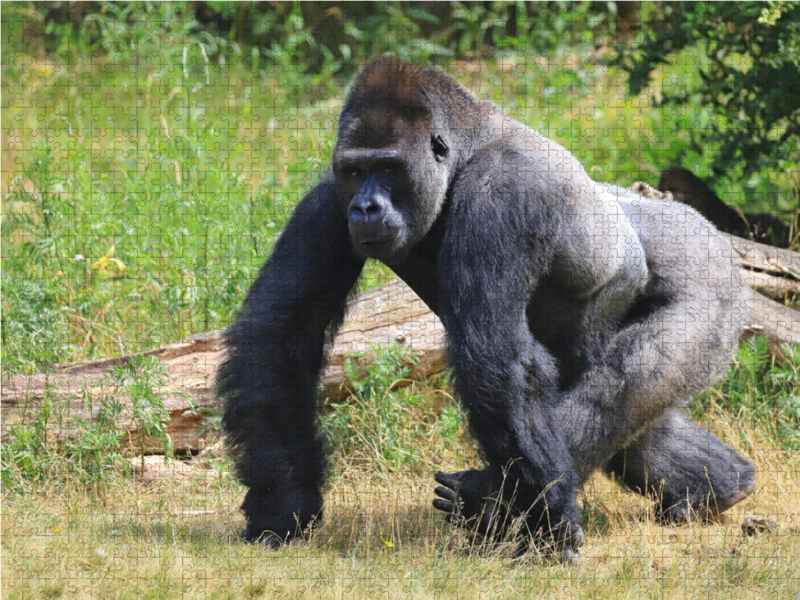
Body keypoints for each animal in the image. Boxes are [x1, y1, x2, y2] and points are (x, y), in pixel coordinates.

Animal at [217, 58, 756, 560]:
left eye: (389, 167)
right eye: (355, 171)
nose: (366, 207)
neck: (466, 150)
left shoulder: (502, 195)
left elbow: (497, 356)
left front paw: (547, 524)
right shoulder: (331, 198)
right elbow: (283, 333)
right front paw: (283, 502)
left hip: (708, 278)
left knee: (621, 387)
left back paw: (490, 502)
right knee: (632, 419)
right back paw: (717, 485)